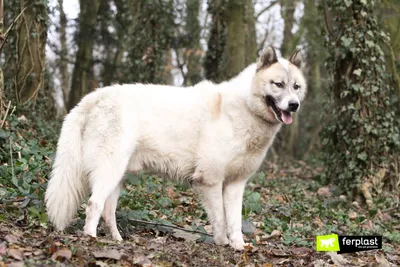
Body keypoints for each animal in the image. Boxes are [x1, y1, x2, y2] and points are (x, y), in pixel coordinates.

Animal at [45, 46, 306, 251]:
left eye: (296, 86)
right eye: (278, 84)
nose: (294, 105)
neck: (244, 109)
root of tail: (93, 97)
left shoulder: (235, 185)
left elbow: (235, 222)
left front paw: (239, 247)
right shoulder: (209, 180)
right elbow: (221, 219)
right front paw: (222, 244)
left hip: (117, 176)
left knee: (108, 212)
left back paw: (117, 240)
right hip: (109, 171)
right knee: (93, 205)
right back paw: (91, 239)